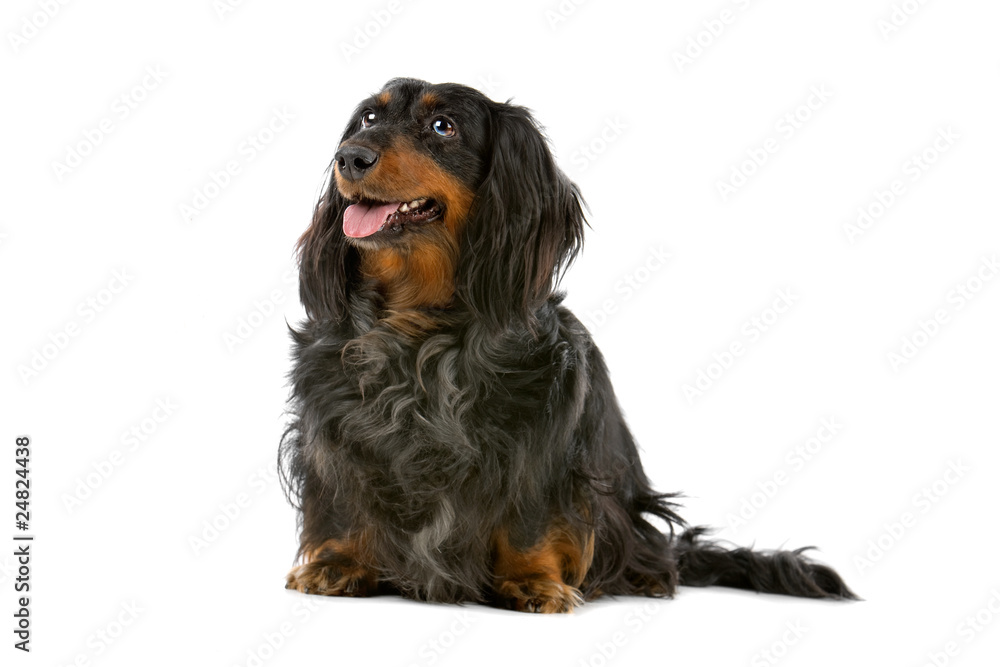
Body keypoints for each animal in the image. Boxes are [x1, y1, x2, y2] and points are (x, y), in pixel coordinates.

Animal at [278, 77, 856, 612]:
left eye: (443, 127)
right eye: (368, 118)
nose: (350, 156)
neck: (418, 321)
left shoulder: (543, 427)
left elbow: (531, 514)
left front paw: (533, 580)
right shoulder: (334, 420)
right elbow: (343, 496)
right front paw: (340, 563)